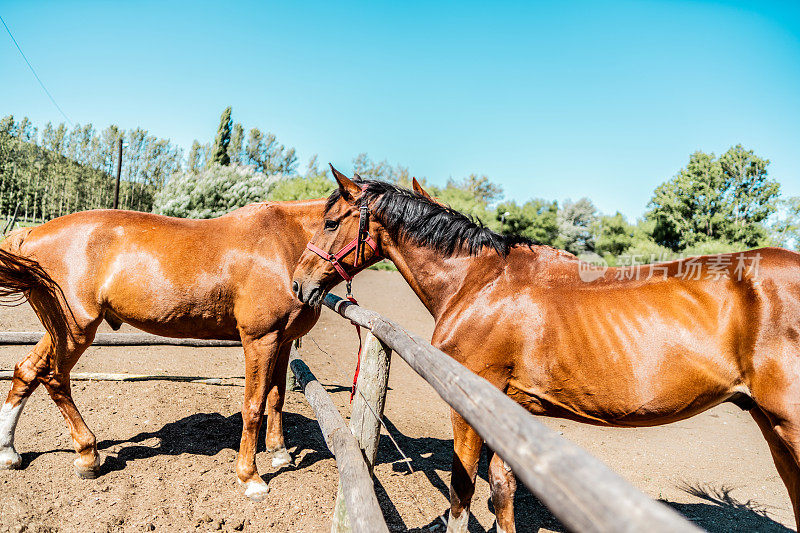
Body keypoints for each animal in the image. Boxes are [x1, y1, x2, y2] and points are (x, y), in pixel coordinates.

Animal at [0, 198, 326, 498]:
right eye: (331, 223)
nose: (305, 288)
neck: (285, 243)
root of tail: (31, 233)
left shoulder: (283, 340)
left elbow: (276, 396)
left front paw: (280, 452)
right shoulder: (261, 339)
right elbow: (254, 406)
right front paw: (251, 478)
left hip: (60, 330)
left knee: (27, 370)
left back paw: (9, 452)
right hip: (76, 330)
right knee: (54, 379)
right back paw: (88, 456)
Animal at [292, 167, 800, 532]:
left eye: (331, 222)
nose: (298, 284)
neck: (480, 282)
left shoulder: (468, 407)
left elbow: (461, 490)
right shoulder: (507, 409)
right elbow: (502, 490)